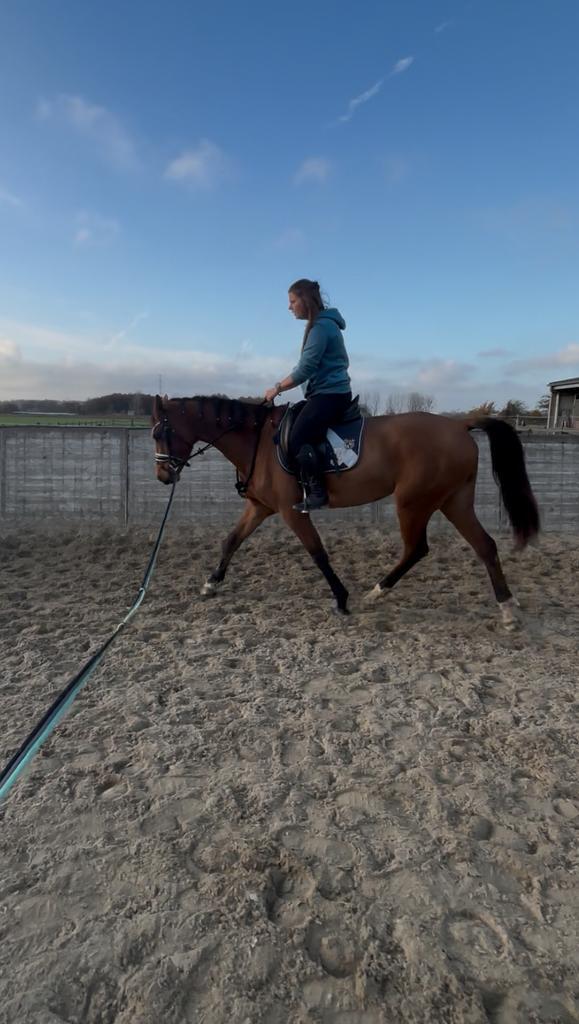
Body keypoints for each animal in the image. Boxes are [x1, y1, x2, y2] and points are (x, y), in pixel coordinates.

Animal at [151, 394, 539, 628]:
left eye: (159, 433)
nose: (162, 476)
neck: (258, 441)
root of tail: (458, 425)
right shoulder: (260, 508)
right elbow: (231, 541)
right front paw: (210, 583)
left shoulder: (293, 511)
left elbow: (317, 552)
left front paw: (341, 598)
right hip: (453, 501)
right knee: (484, 545)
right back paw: (507, 607)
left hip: (413, 502)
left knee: (417, 548)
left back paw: (377, 591)